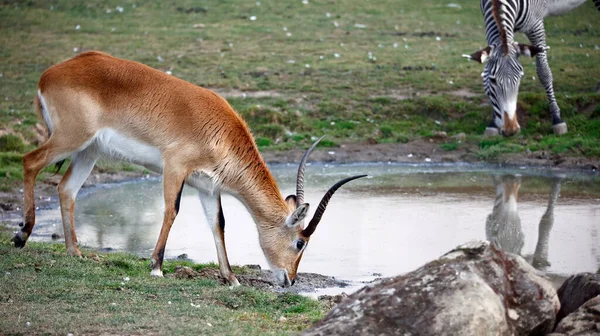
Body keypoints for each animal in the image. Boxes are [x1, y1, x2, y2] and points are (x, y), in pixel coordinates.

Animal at [12, 51, 366, 288]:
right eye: (300, 243)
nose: (290, 280)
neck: (222, 133)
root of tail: (50, 73)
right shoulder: (175, 167)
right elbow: (172, 210)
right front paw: (156, 265)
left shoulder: (208, 187)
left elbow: (218, 224)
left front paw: (230, 277)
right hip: (70, 138)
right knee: (30, 161)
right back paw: (22, 235)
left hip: (89, 151)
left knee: (66, 189)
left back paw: (76, 252)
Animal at [464, 0, 600, 136]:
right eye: (493, 81)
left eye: (520, 78)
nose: (511, 130)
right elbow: (486, 73)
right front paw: (493, 122)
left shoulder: (536, 24)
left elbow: (543, 72)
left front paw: (557, 119)